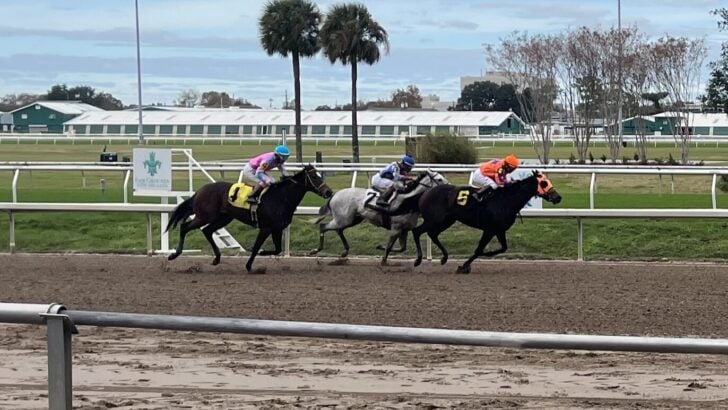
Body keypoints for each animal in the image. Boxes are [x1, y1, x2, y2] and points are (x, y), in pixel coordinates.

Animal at [165, 164, 333, 273]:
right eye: (314, 176)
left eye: (320, 175)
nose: (329, 192)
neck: (281, 197)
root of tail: (200, 190)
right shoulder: (266, 228)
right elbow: (256, 247)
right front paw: (250, 264)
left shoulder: (277, 228)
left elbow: (278, 249)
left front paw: (262, 255)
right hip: (205, 216)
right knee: (185, 227)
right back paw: (174, 254)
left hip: (223, 218)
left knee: (207, 231)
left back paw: (217, 258)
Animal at [309, 170, 448, 264]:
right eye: (439, 179)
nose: (449, 187)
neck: (407, 201)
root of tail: (334, 195)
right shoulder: (396, 228)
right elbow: (390, 246)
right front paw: (383, 261)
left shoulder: (404, 230)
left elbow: (401, 248)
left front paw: (380, 247)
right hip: (343, 219)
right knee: (323, 226)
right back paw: (315, 250)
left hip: (352, 220)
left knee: (338, 230)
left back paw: (344, 252)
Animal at [412, 171, 562, 274]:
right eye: (543, 183)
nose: (558, 197)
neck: (506, 200)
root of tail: (426, 192)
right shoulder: (489, 229)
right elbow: (479, 249)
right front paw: (464, 266)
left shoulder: (499, 230)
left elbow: (502, 248)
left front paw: (486, 255)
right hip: (434, 220)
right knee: (417, 231)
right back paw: (418, 260)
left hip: (446, 221)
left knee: (432, 234)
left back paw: (444, 258)